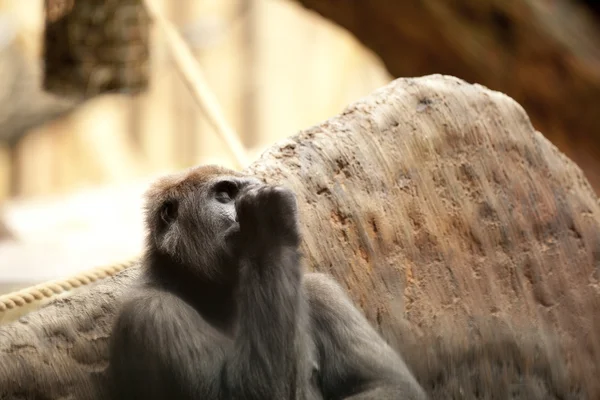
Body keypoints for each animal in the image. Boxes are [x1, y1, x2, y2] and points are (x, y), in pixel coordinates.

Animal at [108, 164, 426, 398]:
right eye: (225, 194)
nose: (242, 207)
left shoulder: (319, 291)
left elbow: (385, 385)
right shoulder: (152, 313)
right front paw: (267, 223)